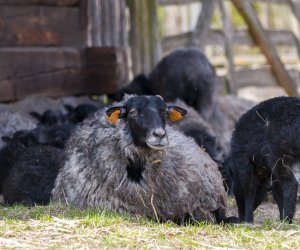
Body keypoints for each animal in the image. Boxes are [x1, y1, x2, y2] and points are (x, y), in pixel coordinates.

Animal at [229, 95, 298, 223]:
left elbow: (248, 190)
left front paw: (248, 221)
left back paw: (286, 221)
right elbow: (276, 191)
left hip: (276, 154)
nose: (240, 218)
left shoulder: (244, 161)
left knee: (291, 184)